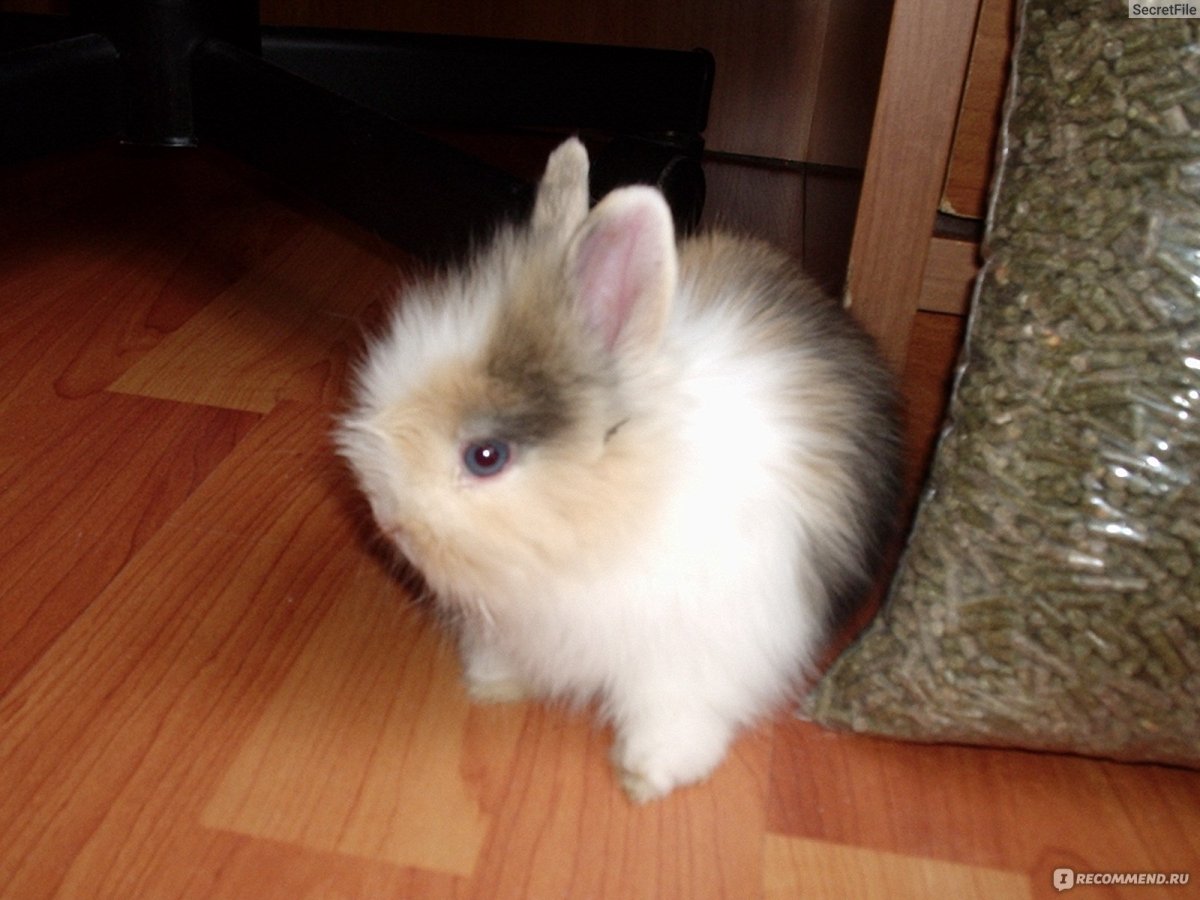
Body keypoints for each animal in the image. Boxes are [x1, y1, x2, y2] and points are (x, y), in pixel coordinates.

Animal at [335, 137, 902, 803]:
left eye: (485, 456)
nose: (388, 519)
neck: (611, 518)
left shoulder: (696, 655)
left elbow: (674, 712)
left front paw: (648, 774)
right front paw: (492, 683)